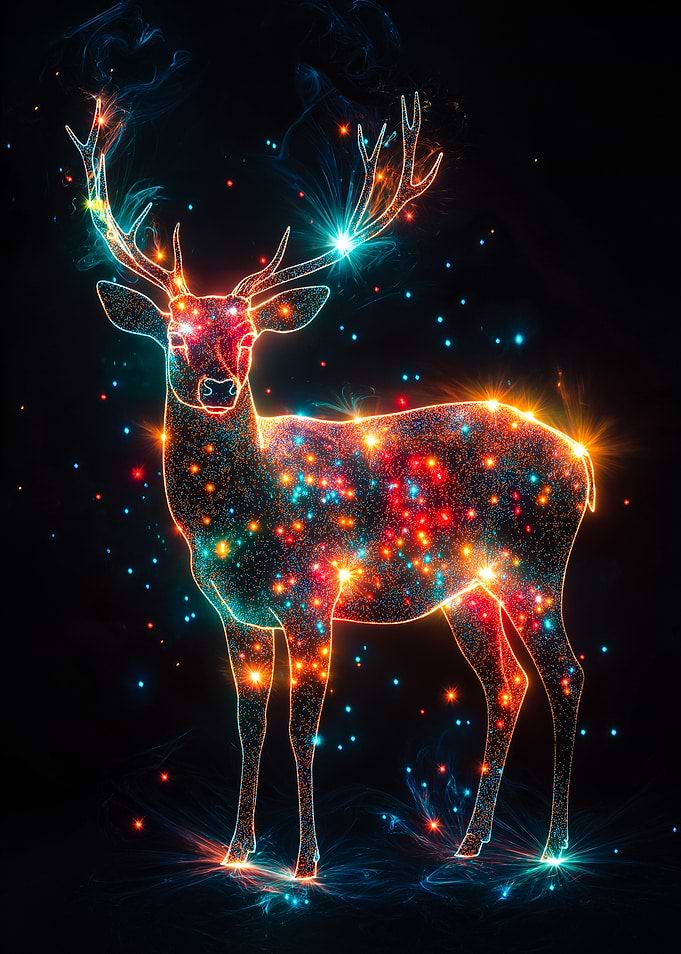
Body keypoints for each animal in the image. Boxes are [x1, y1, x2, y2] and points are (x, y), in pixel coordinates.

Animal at [67, 93, 594, 880]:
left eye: (248, 336)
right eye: (176, 337)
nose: (218, 387)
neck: (240, 517)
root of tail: (583, 462)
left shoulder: (313, 595)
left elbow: (300, 728)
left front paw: (306, 861)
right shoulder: (237, 614)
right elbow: (248, 726)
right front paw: (238, 850)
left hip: (535, 563)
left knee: (565, 674)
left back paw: (554, 846)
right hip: (470, 588)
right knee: (507, 683)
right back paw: (470, 841)